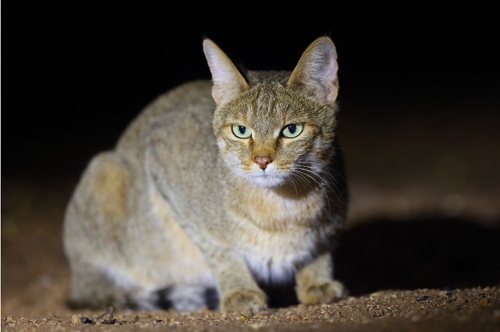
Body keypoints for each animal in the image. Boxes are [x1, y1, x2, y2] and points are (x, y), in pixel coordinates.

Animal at [63, 36, 348, 314]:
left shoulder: (334, 218)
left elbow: (321, 249)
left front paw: (317, 281)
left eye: (292, 130)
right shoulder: (162, 161)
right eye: (241, 131)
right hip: (105, 170)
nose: (262, 160)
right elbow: (219, 250)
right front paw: (238, 290)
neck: (283, 207)